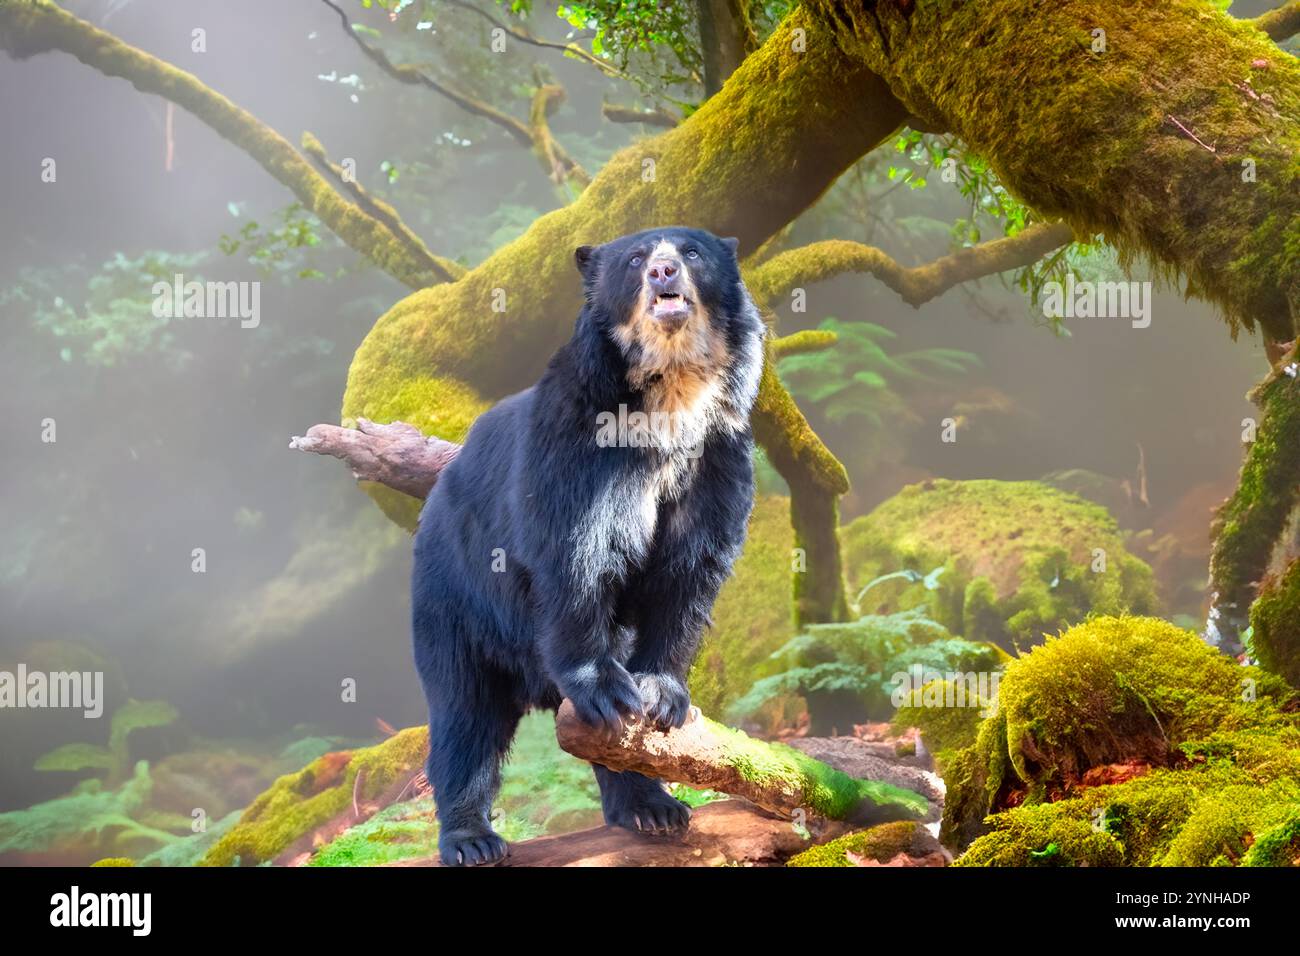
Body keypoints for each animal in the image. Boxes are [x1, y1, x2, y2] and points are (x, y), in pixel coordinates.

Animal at [410, 226, 765, 866]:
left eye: (692, 252)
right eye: (635, 258)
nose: (664, 272)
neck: (672, 399)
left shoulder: (718, 456)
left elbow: (690, 573)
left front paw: (661, 695)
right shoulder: (577, 447)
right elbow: (577, 555)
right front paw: (605, 688)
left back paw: (652, 807)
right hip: (455, 597)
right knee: (464, 714)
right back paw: (471, 838)